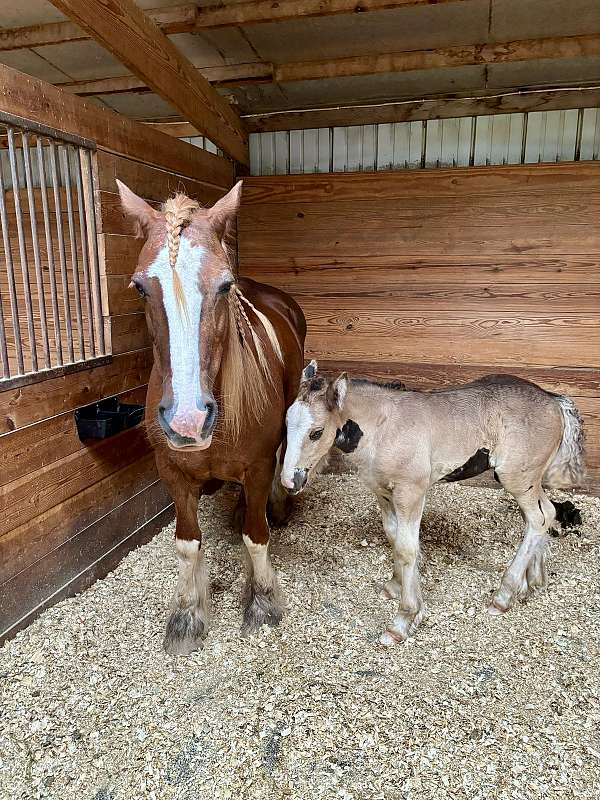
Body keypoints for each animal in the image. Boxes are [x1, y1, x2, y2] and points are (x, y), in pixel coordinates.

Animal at [118, 181, 308, 656]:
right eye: (140, 287)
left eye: (224, 285)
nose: (187, 421)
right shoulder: (172, 472)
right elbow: (187, 545)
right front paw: (187, 616)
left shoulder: (257, 465)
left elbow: (256, 536)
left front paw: (261, 602)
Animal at [282, 366, 584, 648]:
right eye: (286, 424)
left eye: (316, 432)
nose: (289, 481)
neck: (383, 427)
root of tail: (554, 399)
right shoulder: (383, 493)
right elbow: (395, 538)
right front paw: (397, 587)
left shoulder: (411, 493)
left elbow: (407, 548)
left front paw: (404, 620)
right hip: (528, 481)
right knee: (546, 513)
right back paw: (533, 580)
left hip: (517, 479)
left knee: (538, 518)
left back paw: (504, 595)